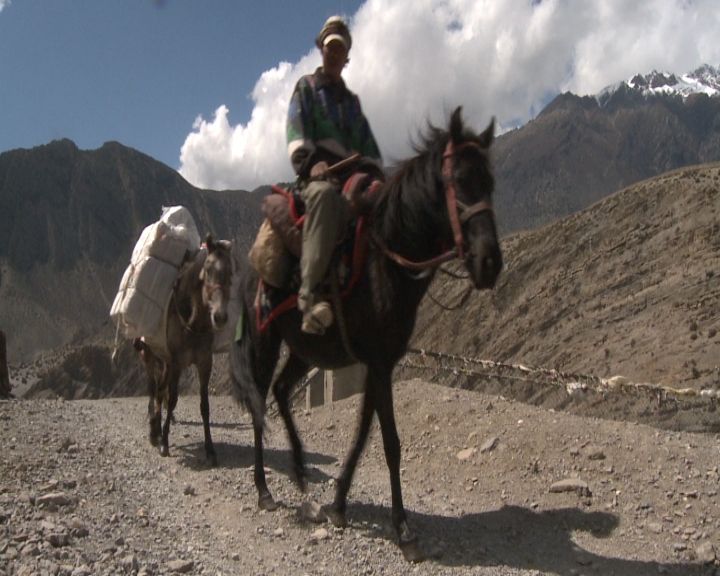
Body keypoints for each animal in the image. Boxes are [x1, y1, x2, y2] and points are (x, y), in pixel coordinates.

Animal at [136, 236, 232, 466]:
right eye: (208, 269)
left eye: (231, 271)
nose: (220, 317)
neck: (193, 321)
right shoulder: (177, 363)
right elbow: (172, 400)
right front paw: (164, 443)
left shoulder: (205, 362)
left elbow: (204, 406)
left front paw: (210, 449)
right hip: (151, 356)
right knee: (154, 389)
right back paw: (154, 433)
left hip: (165, 361)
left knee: (159, 390)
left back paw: (157, 430)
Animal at [231, 106, 500, 560]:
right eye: (459, 180)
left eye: (491, 183)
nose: (490, 264)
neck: (389, 258)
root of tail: (250, 271)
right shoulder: (377, 362)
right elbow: (389, 442)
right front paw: (403, 528)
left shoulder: (380, 363)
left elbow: (362, 434)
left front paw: (339, 504)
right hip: (266, 343)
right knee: (259, 404)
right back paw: (265, 489)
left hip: (306, 348)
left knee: (282, 391)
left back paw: (301, 472)